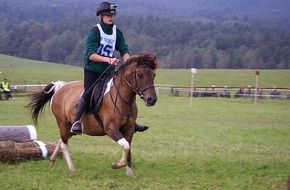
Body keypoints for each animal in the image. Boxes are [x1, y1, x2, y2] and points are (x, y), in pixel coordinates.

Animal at [26, 52, 159, 176]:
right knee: (64, 144)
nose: (152, 99)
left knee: (62, 140)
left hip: (70, 127)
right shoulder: (110, 128)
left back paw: (52, 161)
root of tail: (60, 87)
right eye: (139, 75)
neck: (123, 99)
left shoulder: (129, 129)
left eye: (153, 75)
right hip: (63, 123)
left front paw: (129, 173)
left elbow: (128, 149)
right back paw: (72, 168)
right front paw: (117, 164)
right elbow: (125, 145)